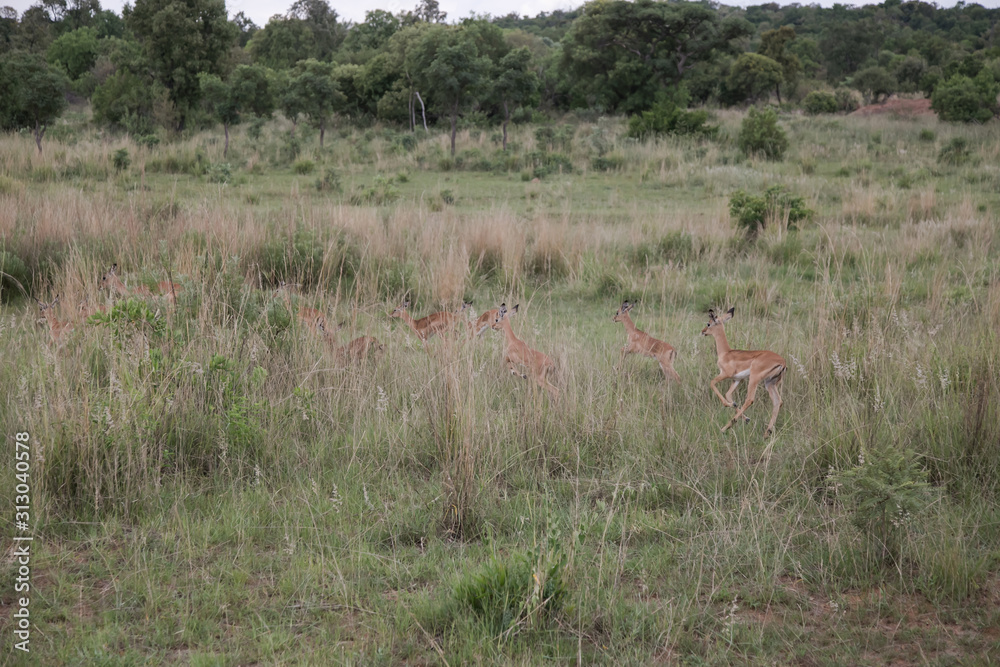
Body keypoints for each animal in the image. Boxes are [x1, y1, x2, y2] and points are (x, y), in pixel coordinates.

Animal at [701, 307, 786, 436]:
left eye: (708, 323)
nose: (703, 331)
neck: (726, 353)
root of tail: (782, 362)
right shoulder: (736, 379)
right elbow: (728, 394)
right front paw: (745, 417)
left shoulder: (725, 374)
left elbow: (712, 383)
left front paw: (730, 406)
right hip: (770, 383)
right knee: (778, 402)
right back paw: (767, 433)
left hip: (754, 379)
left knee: (750, 400)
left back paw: (725, 427)